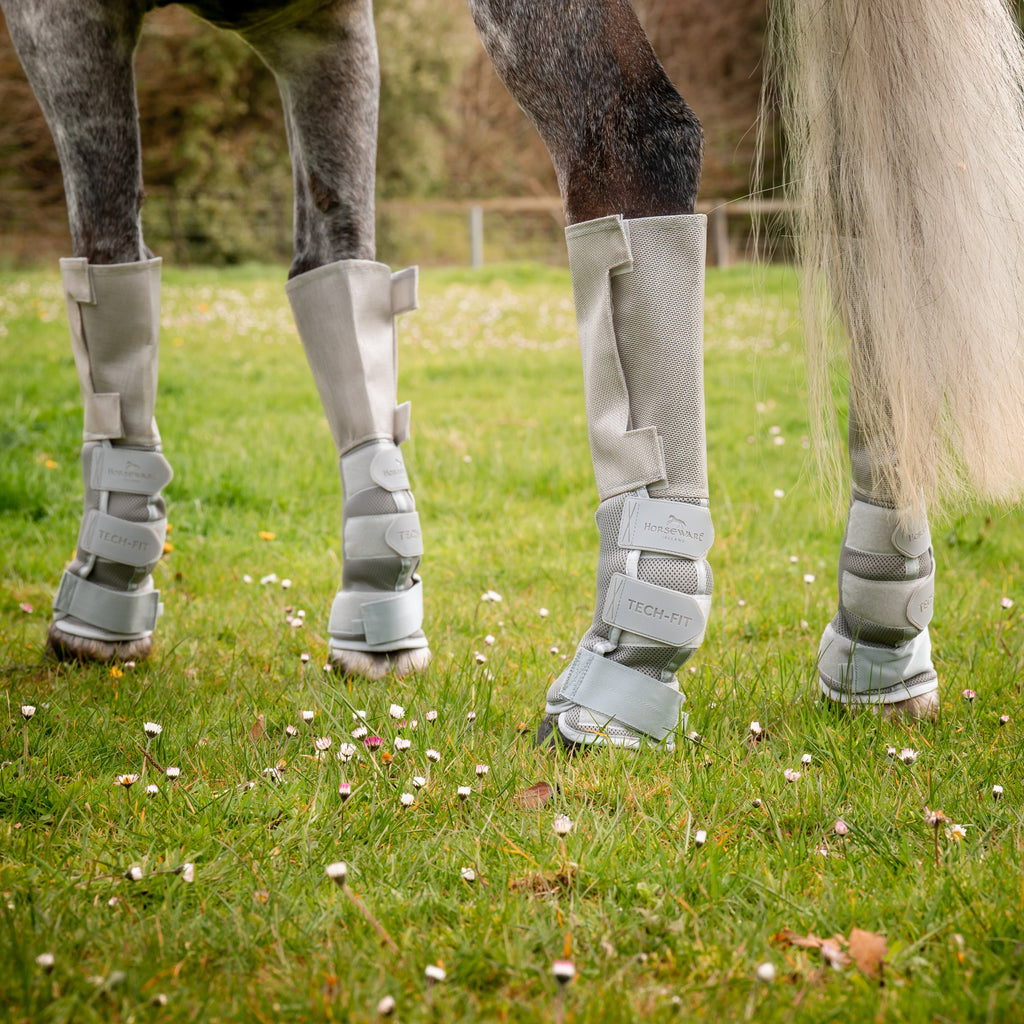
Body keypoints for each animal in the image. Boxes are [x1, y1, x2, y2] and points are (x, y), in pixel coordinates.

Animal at [5, 0, 1024, 748]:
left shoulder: (67, 19)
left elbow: (109, 271)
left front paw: (104, 601)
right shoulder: (319, 26)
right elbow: (336, 275)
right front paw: (378, 609)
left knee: (636, 139)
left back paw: (620, 678)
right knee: (880, 219)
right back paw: (881, 643)